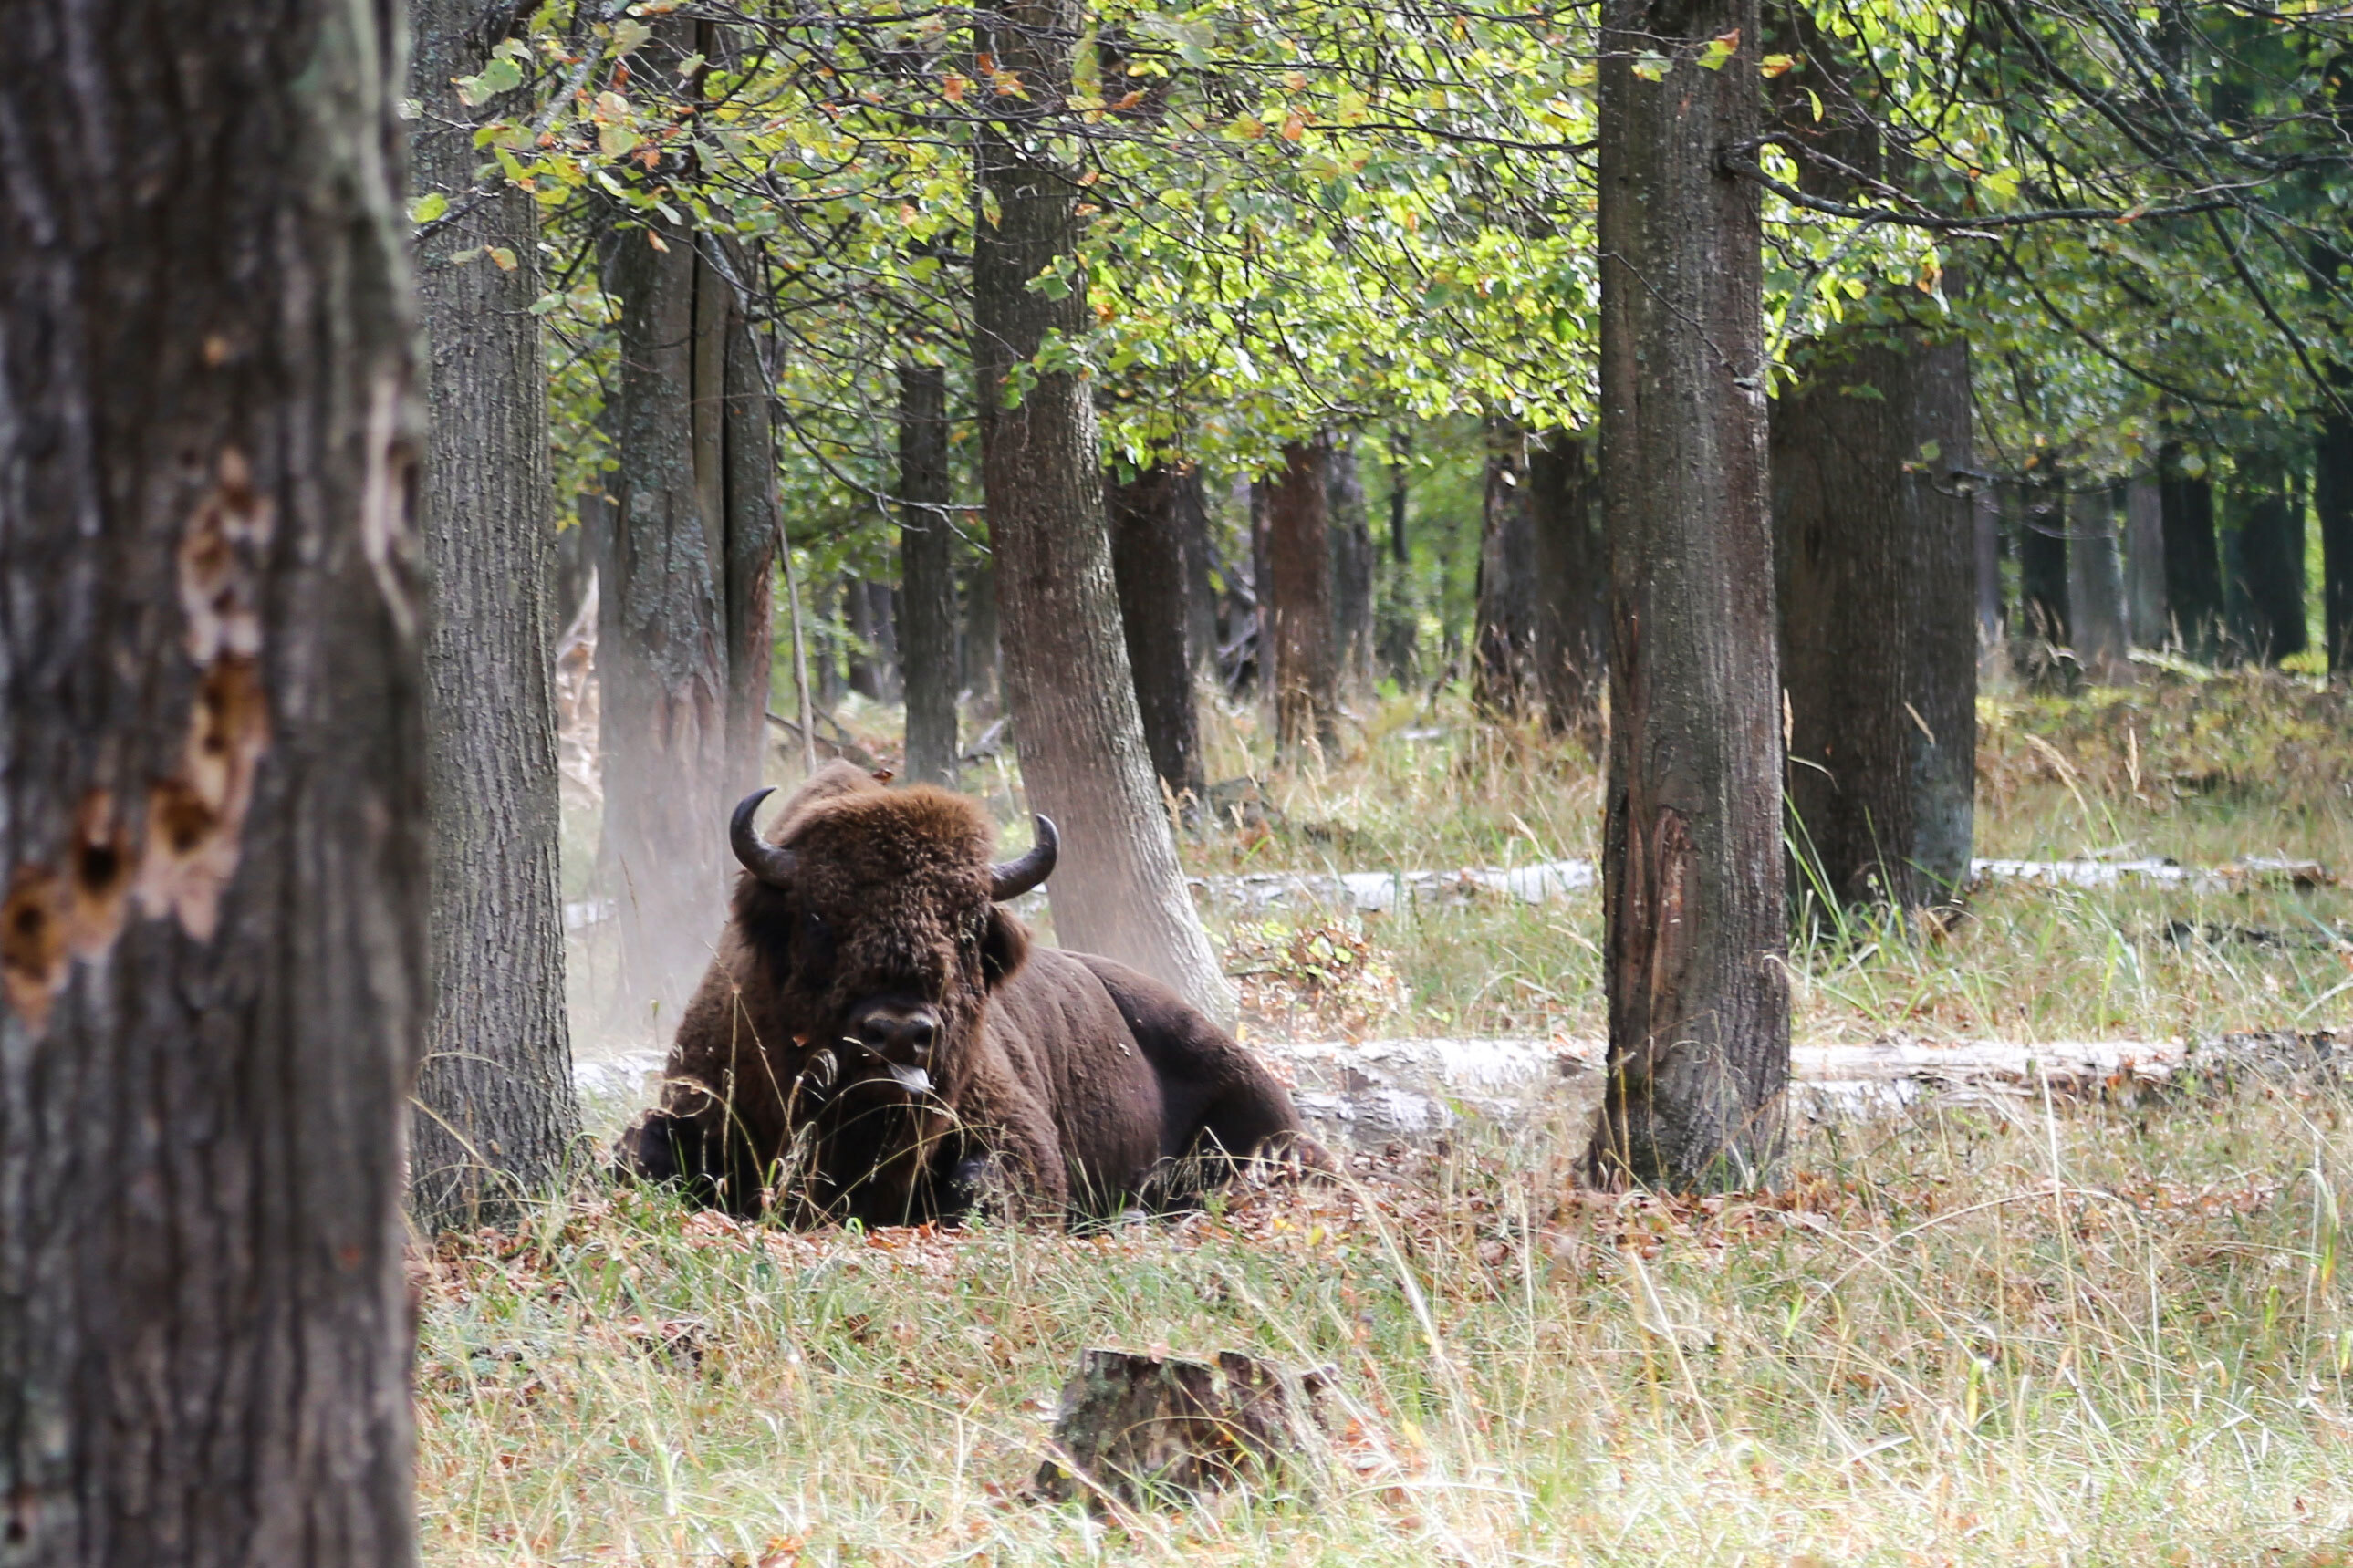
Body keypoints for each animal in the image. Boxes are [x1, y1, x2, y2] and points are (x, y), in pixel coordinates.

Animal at [616, 762, 1317, 1222]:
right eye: (818, 916)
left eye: (969, 923)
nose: (899, 1031)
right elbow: (643, 1154)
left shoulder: (1016, 1134)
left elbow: (979, 1185)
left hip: (1262, 1113)